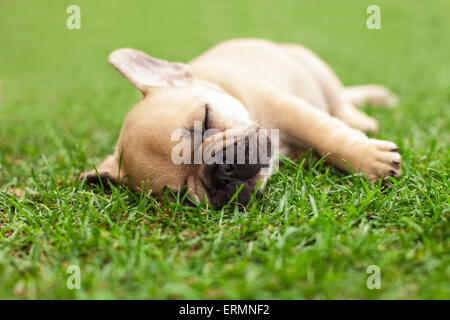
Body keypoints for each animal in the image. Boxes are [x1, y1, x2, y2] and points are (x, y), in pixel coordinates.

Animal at [82, 38, 402, 209]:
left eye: (206, 119)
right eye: (181, 194)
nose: (221, 170)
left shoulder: (288, 108)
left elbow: (326, 134)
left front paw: (371, 161)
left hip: (318, 71)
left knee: (340, 104)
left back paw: (362, 117)